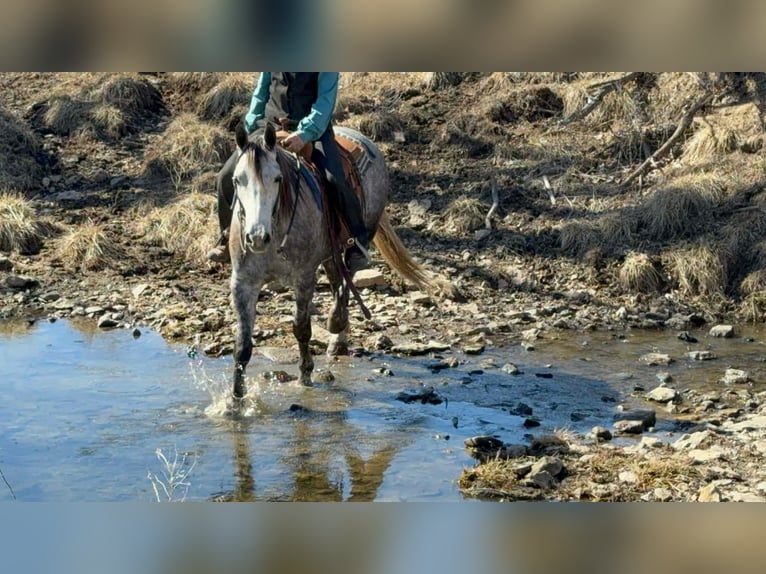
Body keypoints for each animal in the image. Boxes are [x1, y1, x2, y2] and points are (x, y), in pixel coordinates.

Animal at [228, 121, 438, 399]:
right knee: (339, 282)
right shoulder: (243, 282)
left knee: (346, 284)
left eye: (277, 179)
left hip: (351, 244)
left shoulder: (304, 278)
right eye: (236, 180)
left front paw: (305, 375)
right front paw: (235, 399)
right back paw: (338, 333)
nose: (257, 237)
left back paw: (337, 328)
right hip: (330, 255)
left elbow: (301, 328)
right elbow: (242, 344)